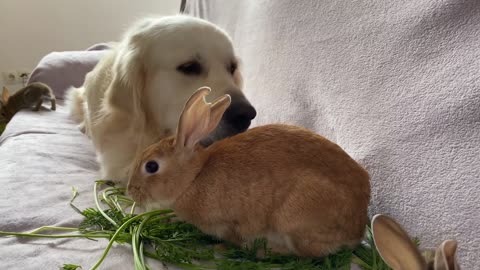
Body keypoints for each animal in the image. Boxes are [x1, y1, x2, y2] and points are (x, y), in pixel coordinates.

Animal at [128, 87, 372, 258]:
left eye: (151, 166)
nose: (131, 191)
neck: (194, 177)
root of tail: (357, 228)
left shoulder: (229, 223)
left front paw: (222, 248)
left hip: (294, 220)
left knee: (306, 254)